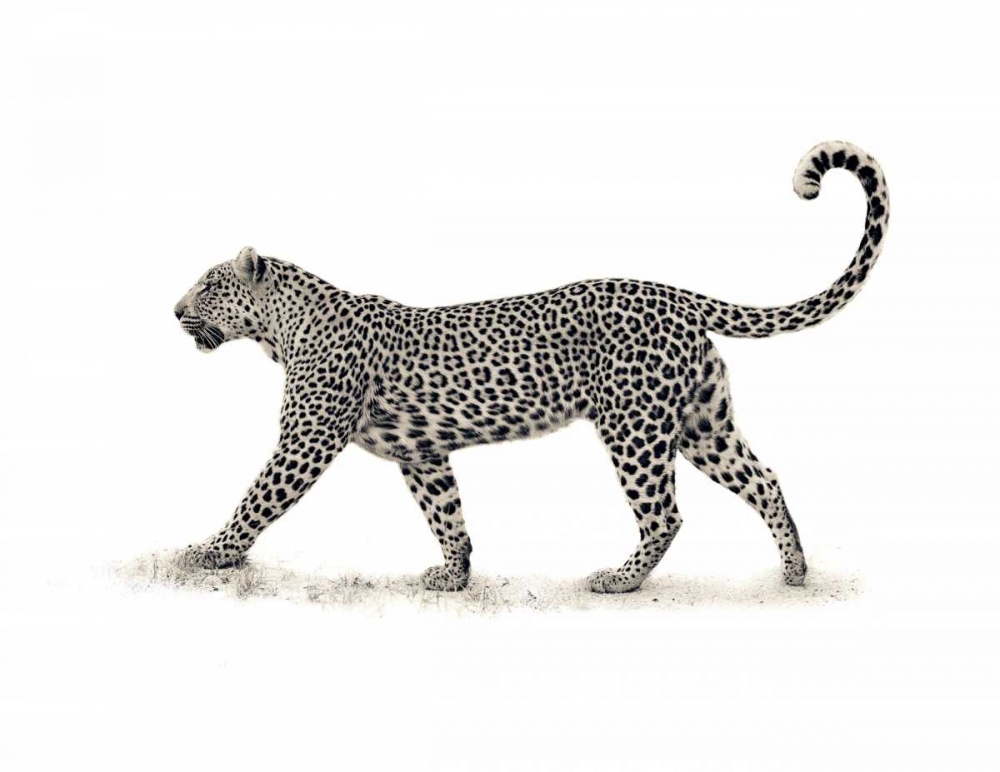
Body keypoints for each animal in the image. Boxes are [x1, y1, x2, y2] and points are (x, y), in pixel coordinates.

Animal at [173, 140, 888, 593]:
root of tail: (674, 293)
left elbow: (258, 497)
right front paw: (454, 575)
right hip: (701, 422)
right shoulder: (421, 452)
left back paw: (618, 580)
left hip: (634, 426)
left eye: (208, 284)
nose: (175, 310)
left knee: (665, 513)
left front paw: (208, 553)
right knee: (763, 478)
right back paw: (794, 572)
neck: (282, 328)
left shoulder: (308, 438)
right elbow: (447, 514)